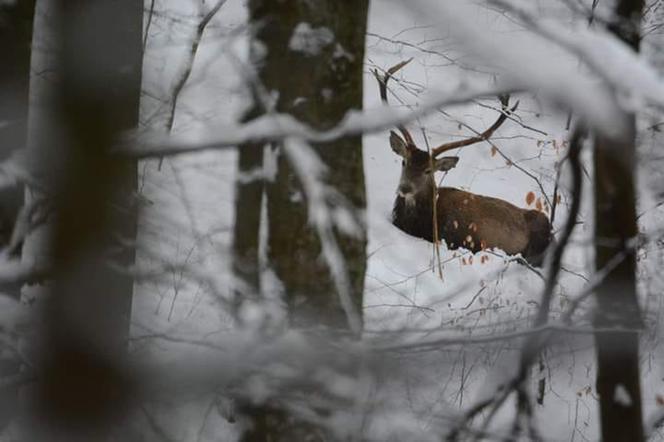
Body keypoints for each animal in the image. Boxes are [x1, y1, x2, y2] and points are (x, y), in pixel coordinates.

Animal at [374, 60, 556, 268]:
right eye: (404, 161)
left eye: (428, 170)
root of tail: (553, 234)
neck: (420, 223)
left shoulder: (464, 240)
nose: (404, 188)